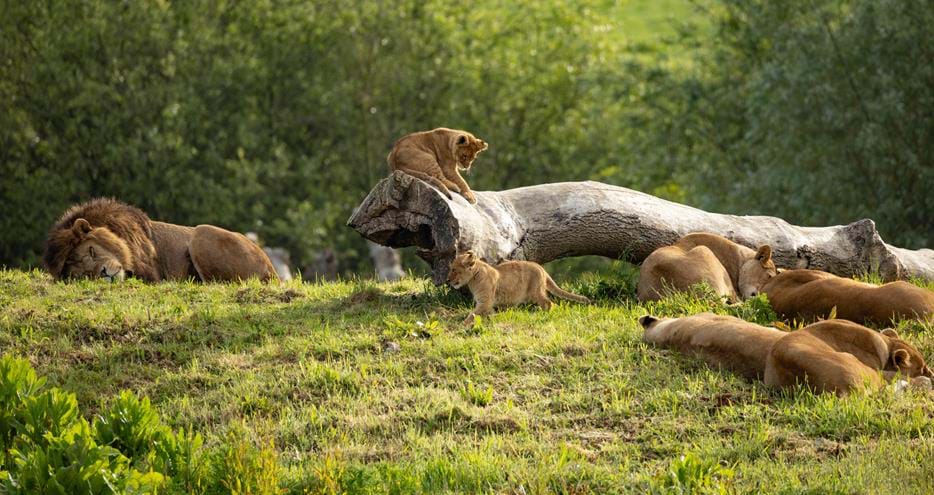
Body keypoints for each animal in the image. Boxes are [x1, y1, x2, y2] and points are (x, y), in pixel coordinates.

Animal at [43, 198, 278, 283]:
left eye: (91, 251)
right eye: (82, 275)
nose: (104, 273)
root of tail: (271, 268)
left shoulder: (152, 271)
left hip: (201, 233)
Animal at [447, 251, 589, 324]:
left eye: (454, 270)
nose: (448, 280)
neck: (474, 278)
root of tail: (541, 268)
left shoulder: (485, 302)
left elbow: (472, 314)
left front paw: (462, 325)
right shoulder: (486, 304)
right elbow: (486, 313)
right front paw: (494, 318)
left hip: (535, 292)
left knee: (549, 303)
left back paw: (542, 315)